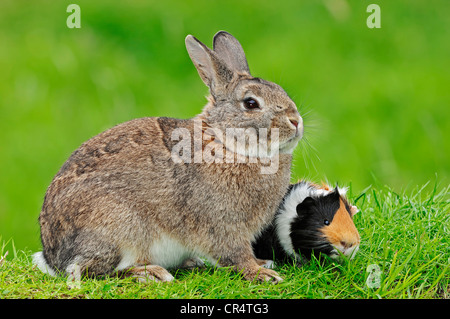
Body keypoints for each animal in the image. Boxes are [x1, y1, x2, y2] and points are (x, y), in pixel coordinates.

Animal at [33, 31, 304, 284]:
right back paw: (150, 273)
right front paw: (261, 273)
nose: (296, 121)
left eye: (281, 91)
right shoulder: (222, 224)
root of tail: (53, 258)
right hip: (118, 227)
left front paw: (263, 263)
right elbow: (235, 254)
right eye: (250, 103)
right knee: (89, 271)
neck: (225, 142)